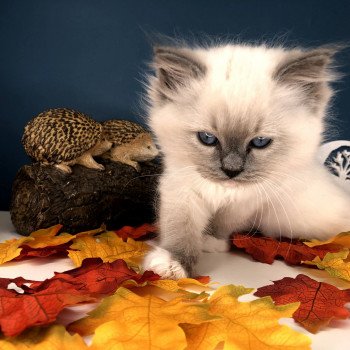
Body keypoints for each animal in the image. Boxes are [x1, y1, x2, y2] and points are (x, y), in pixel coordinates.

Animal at [142, 42, 350, 278]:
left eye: (260, 142)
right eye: (207, 138)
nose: (231, 170)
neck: (223, 191)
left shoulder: (249, 201)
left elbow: (223, 223)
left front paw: (210, 240)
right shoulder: (182, 188)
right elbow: (180, 228)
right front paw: (171, 264)